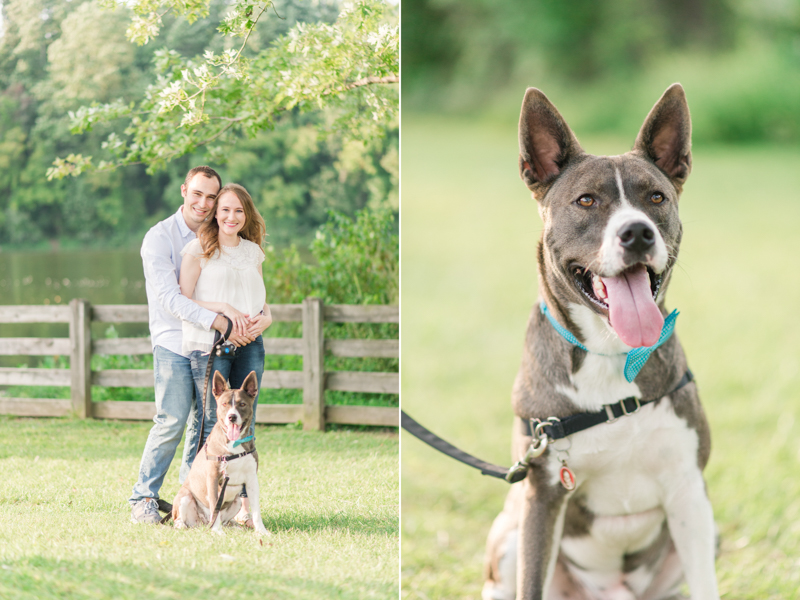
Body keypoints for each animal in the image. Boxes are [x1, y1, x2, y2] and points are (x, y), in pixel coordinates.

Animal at [170, 370, 270, 536]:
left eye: (242, 404)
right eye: (224, 404)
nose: (232, 417)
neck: (234, 443)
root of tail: (203, 522)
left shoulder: (252, 479)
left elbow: (256, 510)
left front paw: (262, 531)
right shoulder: (213, 478)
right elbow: (214, 506)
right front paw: (217, 531)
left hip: (236, 500)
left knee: (224, 518)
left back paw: (233, 526)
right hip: (184, 497)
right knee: (183, 518)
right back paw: (185, 525)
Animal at [482, 85, 720, 600]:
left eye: (656, 197)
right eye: (587, 201)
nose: (637, 232)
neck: (612, 352)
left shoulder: (688, 493)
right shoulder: (542, 494)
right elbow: (531, 584)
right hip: (507, 536)